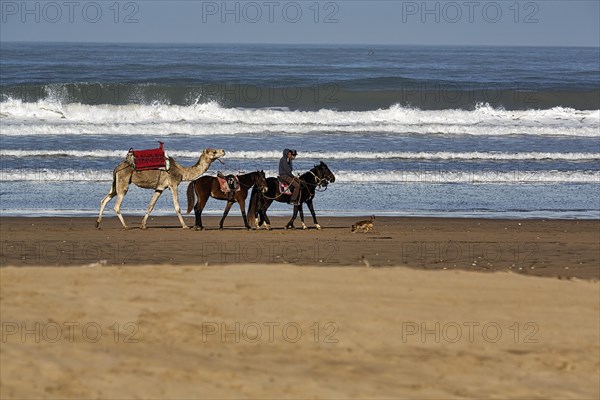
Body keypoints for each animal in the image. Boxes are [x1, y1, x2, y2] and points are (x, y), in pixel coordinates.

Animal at [95, 148, 226, 230]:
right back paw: (126, 226)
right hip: (123, 182)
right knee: (117, 205)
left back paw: (97, 224)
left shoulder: (160, 188)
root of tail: (117, 168)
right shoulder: (173, 184)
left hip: (115, 184)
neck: (181, 172)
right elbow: (177, 207)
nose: (223, 151)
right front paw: (185, 226)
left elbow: (151, 206)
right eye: (214, 151)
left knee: (104, 199)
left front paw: (143, 225)